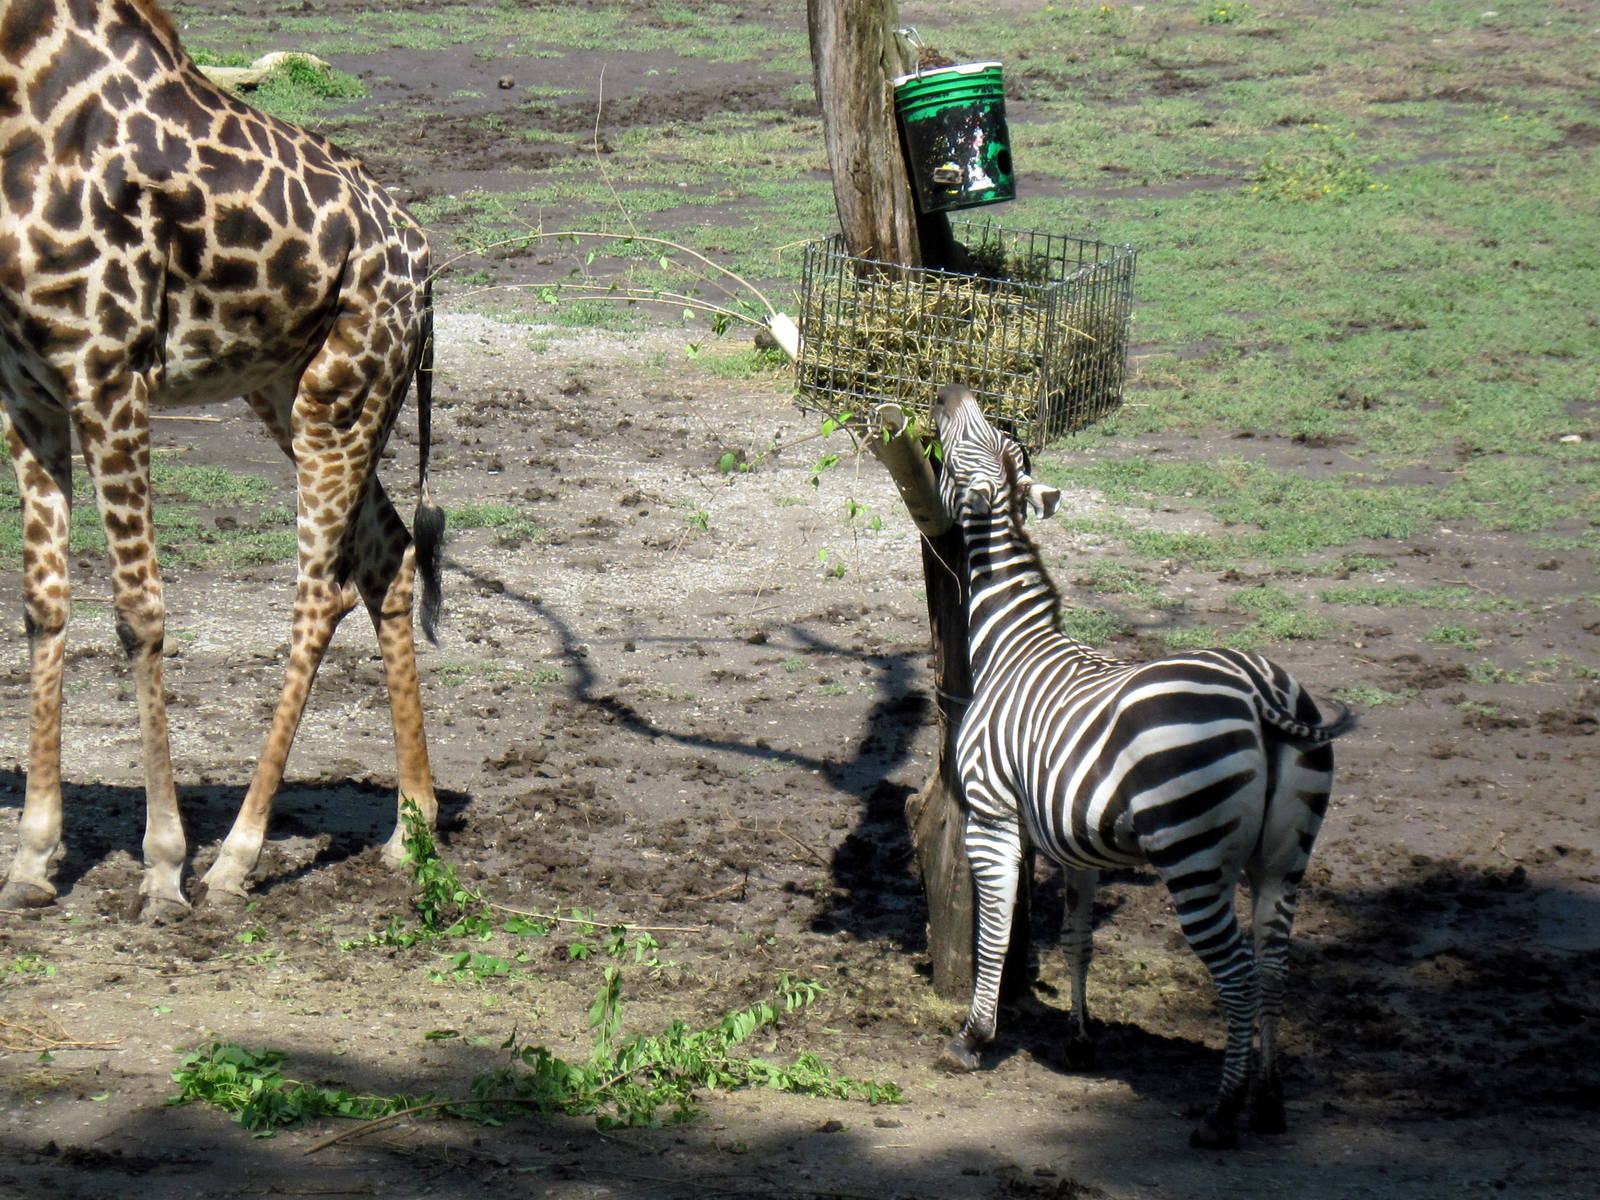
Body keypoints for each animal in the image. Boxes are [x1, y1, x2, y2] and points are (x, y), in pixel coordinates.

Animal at [928, 385, 1355, 1149]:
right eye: (997, 433)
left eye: (959, 447)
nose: (948, 392)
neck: (1013, 643)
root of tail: (1262, 693)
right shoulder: (1077, 843)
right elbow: (1075, 940)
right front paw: (1080, 1040)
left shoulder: (992, 815)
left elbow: (995, 929)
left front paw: (973, 1038)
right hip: (1286, 856)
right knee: (1276, 967)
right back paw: (1269, 1102)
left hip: (1192, 851)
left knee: (1240, 974)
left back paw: (1222, 1113)